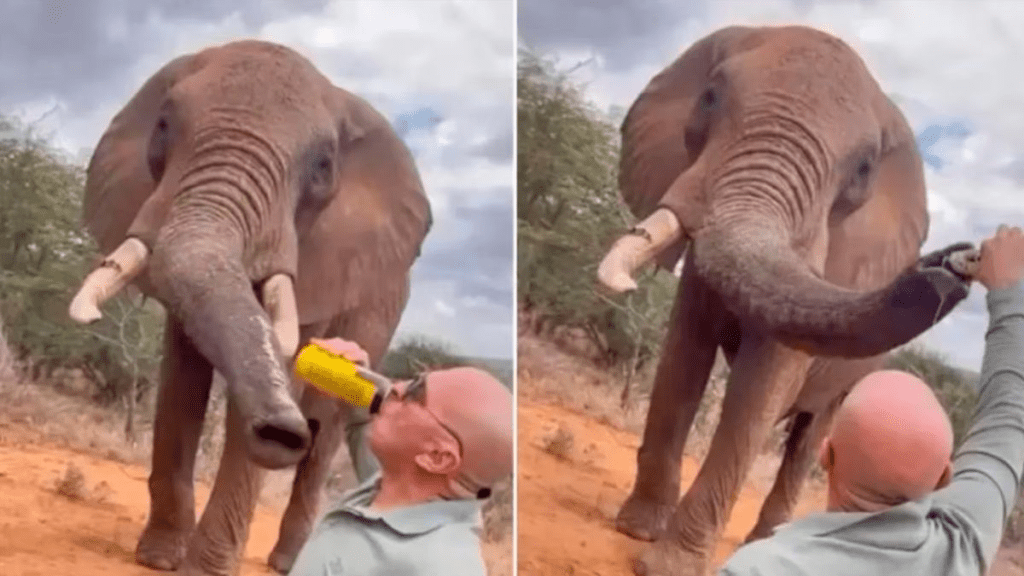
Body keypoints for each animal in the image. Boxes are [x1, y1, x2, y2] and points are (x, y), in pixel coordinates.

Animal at [67, 40, 431, 575]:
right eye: (163, 125)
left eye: (323, 166)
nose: (281, 431)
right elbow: (182, 379)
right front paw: (159, 558)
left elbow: (287, 358)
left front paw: (204, 570)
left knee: (325, 434)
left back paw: (287, 561)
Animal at [596, 25, 973, 576]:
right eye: (710, 98)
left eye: (863, 169)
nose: (955, 263)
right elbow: (684, 352)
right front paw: (636, 530)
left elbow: (763, 381)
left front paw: (669, 565)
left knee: (811, 433)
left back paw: (771, 539)